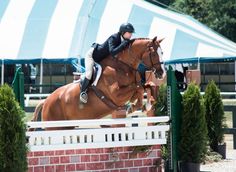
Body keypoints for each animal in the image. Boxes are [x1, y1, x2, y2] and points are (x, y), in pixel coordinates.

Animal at [31, 36, 164, 127]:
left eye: (162, 52)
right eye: (154, 53)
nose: (161, 73)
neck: (122, 66)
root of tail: (46, 101)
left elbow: (147, 86)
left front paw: (147, 104)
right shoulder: (117, 95)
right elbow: (139, 88)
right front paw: (133, 107)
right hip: (55, 126)